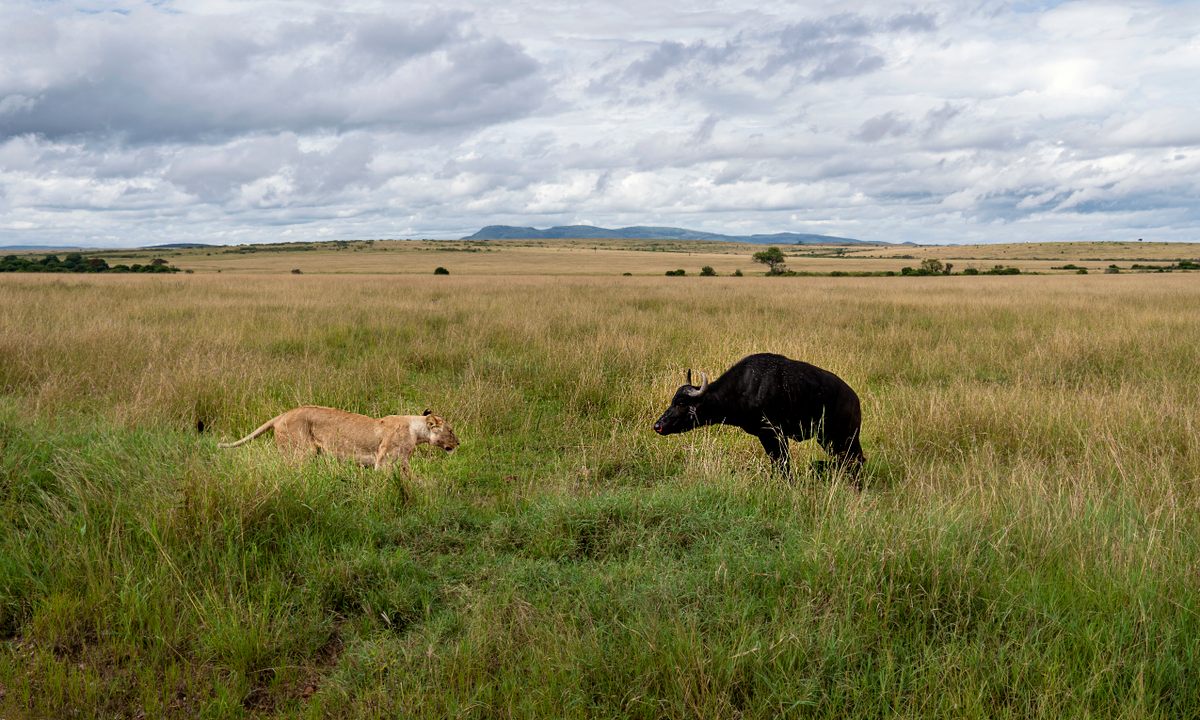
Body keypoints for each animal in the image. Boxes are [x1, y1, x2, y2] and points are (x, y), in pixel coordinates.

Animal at [218, 408, 456, 475]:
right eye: (451, 431)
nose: (459, 443)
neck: (416, 431)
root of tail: (282, 415)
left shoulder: (403, 462)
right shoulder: (384, 461)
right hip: (303, 451)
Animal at [652, 352, 868, 477]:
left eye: (681, 403)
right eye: (672, 401)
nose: (658, 426)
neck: (743, 388)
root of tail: (855, 400)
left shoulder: (774, 434)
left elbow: (783, 463)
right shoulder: (766, 437)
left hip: (843, 439)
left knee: (855, 461)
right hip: (829, 441)